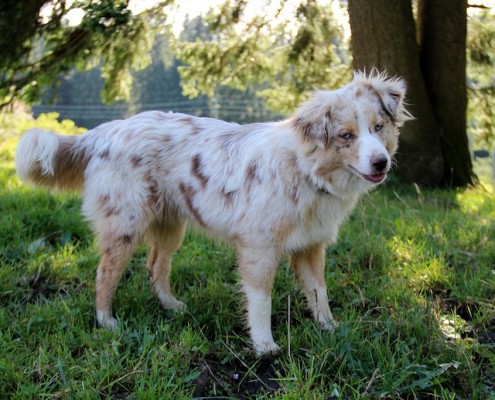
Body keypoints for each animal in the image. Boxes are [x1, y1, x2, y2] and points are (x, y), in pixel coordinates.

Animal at [14, 71, 410, 354]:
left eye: (378, 127)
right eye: (345, 135)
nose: (381, 162)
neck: (304, 169)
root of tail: (105, 131)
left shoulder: (311, 246)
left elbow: (319, 293)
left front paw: (329, 328)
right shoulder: (259, 248)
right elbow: (260, 301)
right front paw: (265, 347)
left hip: (170, 226)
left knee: (155, 266)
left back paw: (172, 306)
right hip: (126, 226)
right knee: (104, 275)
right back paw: (106, 322)